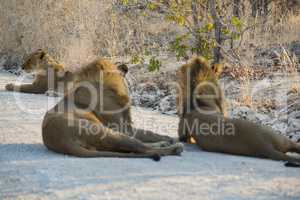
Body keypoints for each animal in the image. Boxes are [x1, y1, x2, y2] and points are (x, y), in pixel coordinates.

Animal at [42, 57, 183, 161]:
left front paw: (167, 138)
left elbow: (149, 133)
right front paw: (172, 140)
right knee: (142, 148)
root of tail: (59, 140)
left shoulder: (127, 126)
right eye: (115, 63)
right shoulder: (124, 128)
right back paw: (175, 148)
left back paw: (164, 144)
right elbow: (146, 134)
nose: (125, 65)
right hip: (108, 132)